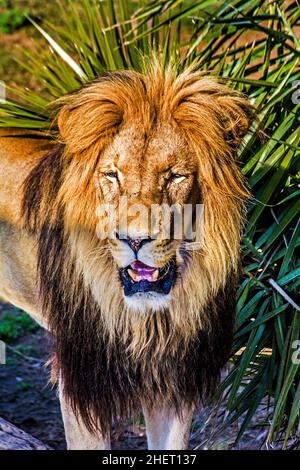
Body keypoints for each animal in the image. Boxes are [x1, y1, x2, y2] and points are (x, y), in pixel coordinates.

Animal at [0, 60, 253, 450]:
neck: (147, 320)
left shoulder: (172, 383)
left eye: (175, 176)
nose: (134, 241)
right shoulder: (82, 382)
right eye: (112, 175)